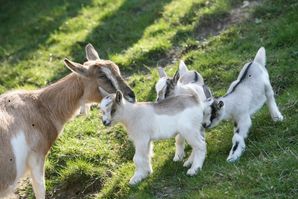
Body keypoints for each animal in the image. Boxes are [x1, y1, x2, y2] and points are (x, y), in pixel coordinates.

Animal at [0, 43, 135, 197]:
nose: (131, 96)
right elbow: (40, 190)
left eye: (116, 69)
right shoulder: (37, 160)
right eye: (102, 76)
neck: (39, 105)